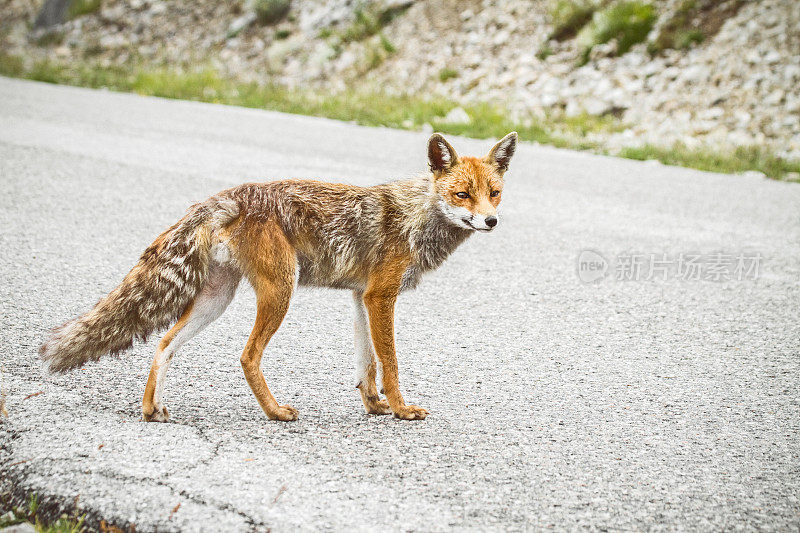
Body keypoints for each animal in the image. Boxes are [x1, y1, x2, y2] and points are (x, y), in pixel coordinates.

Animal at [40, 132, 520, 420]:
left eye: (494, 193)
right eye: (462, 194)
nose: (492, 221)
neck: (415, 217)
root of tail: (226, 196)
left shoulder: (360, 297)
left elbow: (366, 364)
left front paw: (374, 406)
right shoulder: (381, 296)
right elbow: (391, 364)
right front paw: (401, 409)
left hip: (216, 301)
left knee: (163, 345)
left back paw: (151, 409)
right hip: (279, 292)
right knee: (247, 356)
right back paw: (274, 412)